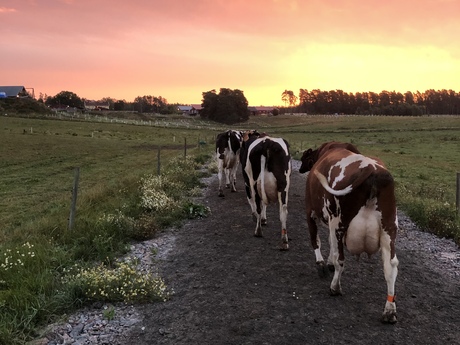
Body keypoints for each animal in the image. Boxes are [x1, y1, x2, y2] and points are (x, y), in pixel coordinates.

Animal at [298, 140, 398, 322]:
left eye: (303, 158)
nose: (301, 169)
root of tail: (372, 169)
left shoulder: (312, 212)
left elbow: (316, 240)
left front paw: (322, 264)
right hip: (389, 229)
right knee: (391, 267)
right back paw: (389, 310)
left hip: (339, 222)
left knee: (340, 258)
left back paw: (335, 287)